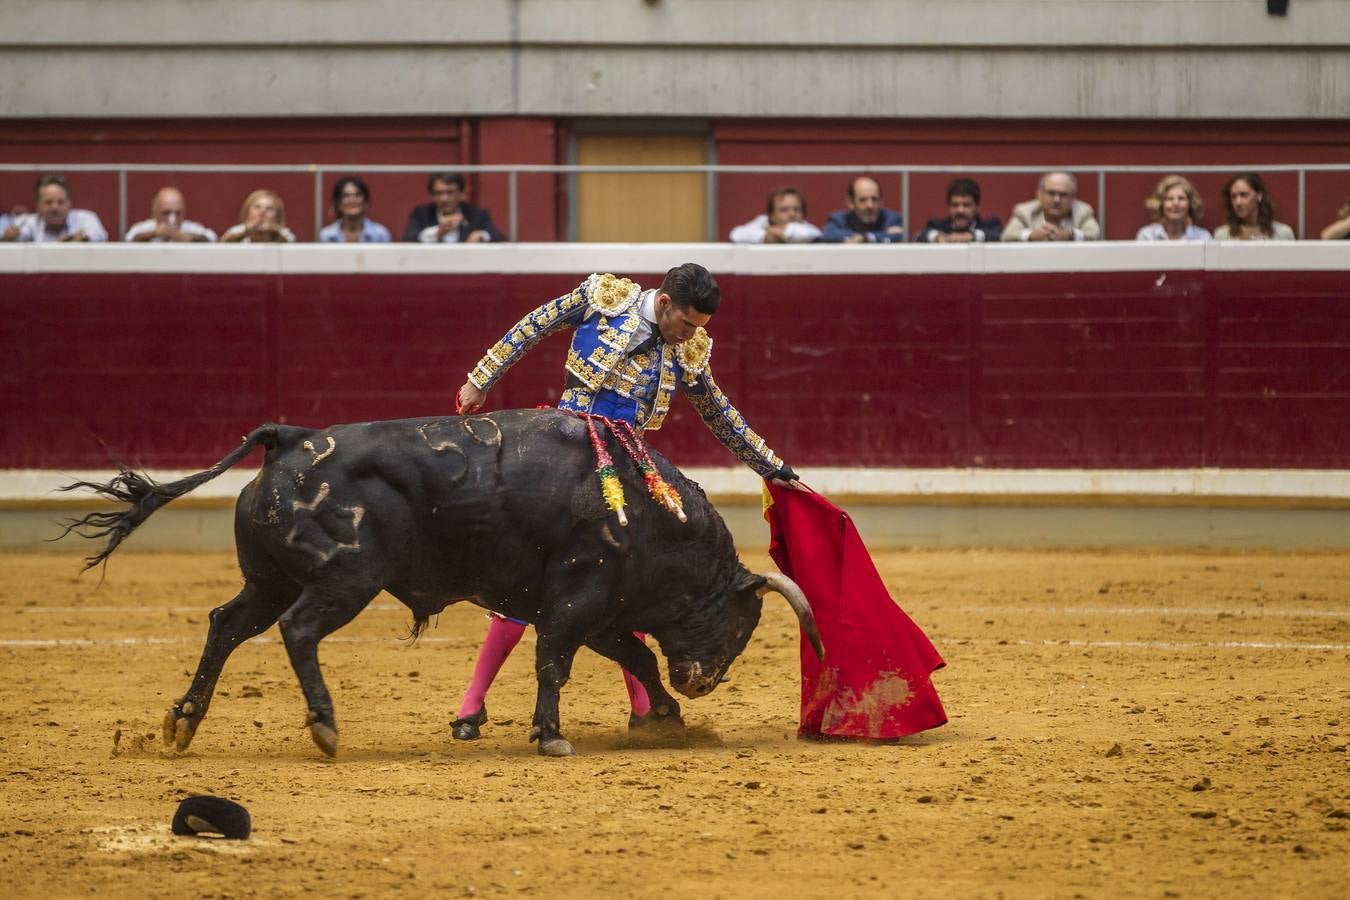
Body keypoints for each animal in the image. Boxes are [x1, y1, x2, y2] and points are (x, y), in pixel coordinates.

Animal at [65, 412, 820, 755]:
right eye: (741, 623)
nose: (703, 681)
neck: (647, 512)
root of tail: (292, 439)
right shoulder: (579, 595)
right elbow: (555, 660)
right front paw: (552, 735)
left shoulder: (604, 609)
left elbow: (633, 654)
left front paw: (663, 715)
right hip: (346, 578)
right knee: (298, 629)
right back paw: (325, 725)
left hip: (269, 579)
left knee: (226, 623)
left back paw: (184, 720)